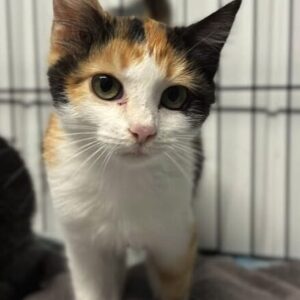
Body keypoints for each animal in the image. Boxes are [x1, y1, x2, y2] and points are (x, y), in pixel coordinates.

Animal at [44, 1, 241, 298]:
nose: (143, 130)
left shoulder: (178, 238)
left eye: (175, 96)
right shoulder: (83, 243)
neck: (122, 178)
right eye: (105, 85)